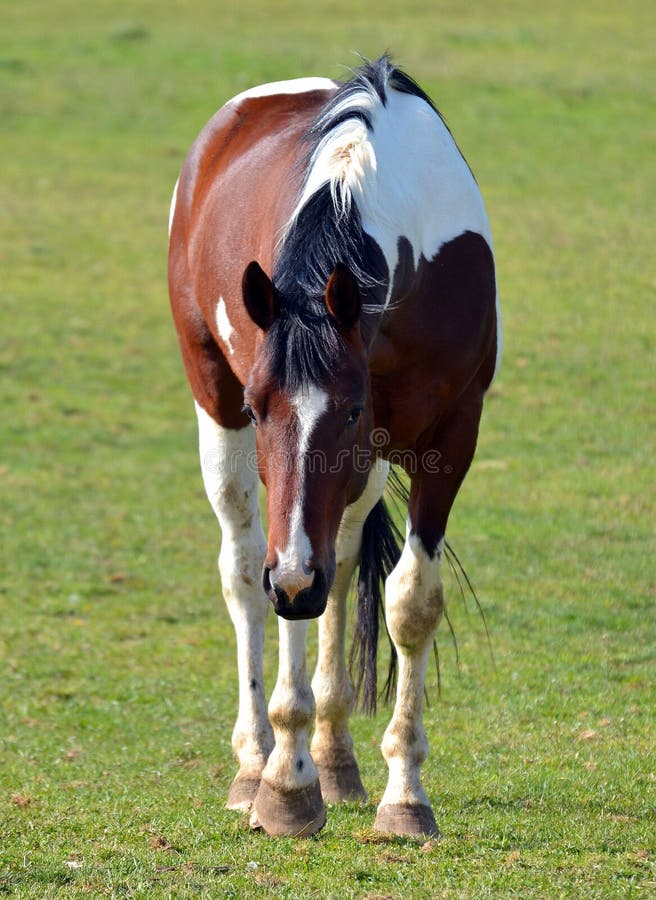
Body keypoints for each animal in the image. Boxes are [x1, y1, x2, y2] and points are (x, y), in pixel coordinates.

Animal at [167, 54, 500, 836]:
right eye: (258, 408)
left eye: (349, 410)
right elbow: (284, 588)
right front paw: (287, 788)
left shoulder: (449, 435)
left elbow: (408, 600)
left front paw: (403, 794)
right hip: (210, 401)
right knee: (247, 571)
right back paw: (258, 762)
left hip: (368, 471)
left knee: (338, 564)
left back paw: (335, 758)